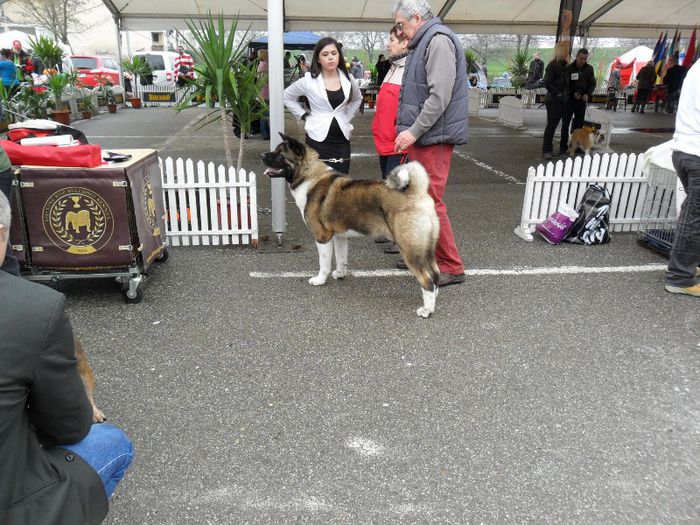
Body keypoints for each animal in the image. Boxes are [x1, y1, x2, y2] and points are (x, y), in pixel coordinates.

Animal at [260, 133, 440, 318]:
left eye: (280, 155)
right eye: (275, 150)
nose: (262, 156)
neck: (309, 174)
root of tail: (417, 193)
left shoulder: (322, 237)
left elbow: (324, 263)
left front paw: (320, 280)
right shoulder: (340, 237)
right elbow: (341, 259)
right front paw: (340, 274)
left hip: (410, 249)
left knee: (426, 279)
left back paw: (426, 310)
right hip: (426, 249)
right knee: (435, 275)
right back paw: (432, 300)